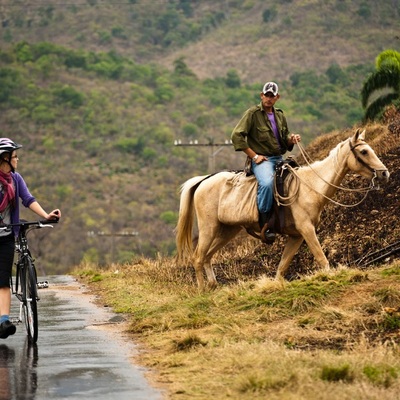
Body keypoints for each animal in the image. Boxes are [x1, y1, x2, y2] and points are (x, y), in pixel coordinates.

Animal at [175, 130, 388, 290]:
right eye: (364, 152)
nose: (384, 173)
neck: (311, 186)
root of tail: (204, 180)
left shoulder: (296, 236)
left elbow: (282, 267)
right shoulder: (307, 229)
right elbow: (322, 259)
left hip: (227, 230)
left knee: (208, 256)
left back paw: (212, 285)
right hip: (209, 228)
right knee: (198, 257)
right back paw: (203, 289)